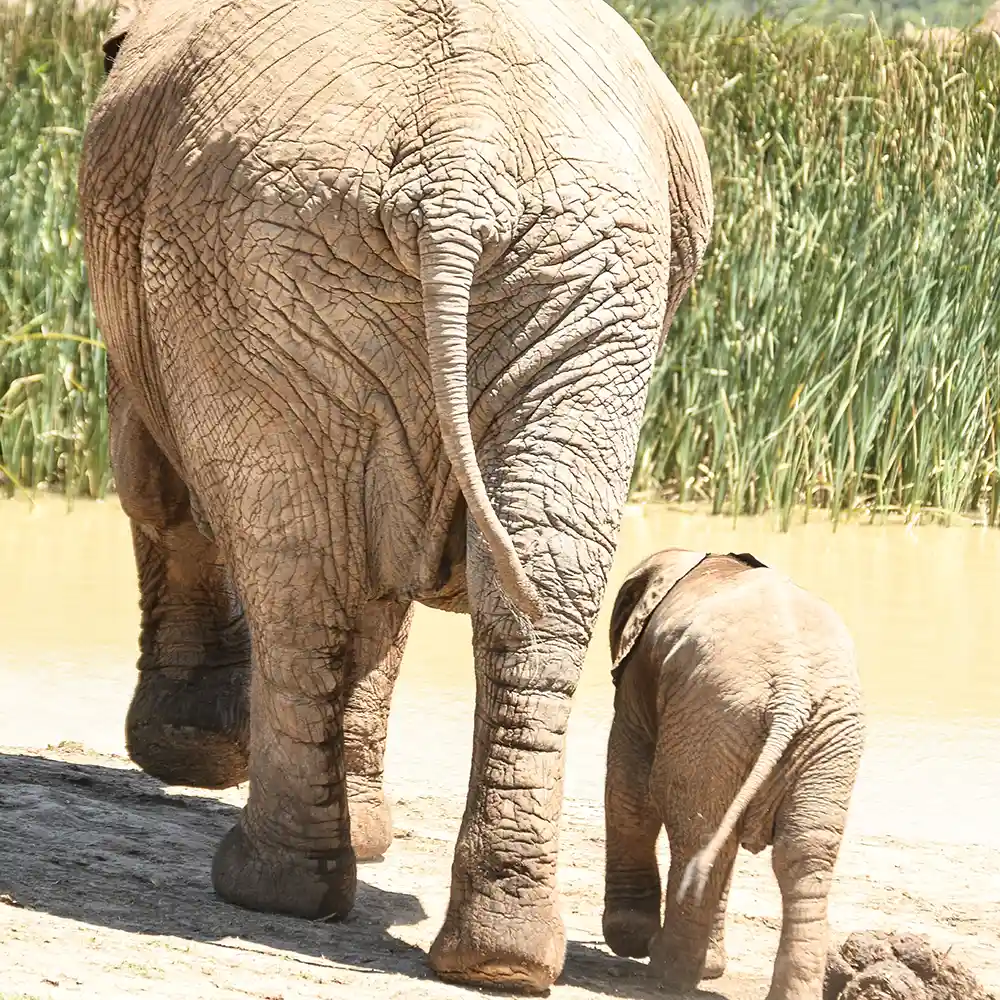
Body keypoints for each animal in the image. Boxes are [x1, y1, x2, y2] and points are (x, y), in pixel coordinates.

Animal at [78, 0, 714, 991]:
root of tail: (461, 165)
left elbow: (156, 487)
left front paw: (190, 756)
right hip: (567, 289)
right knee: (528, 579)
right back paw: (496, 956)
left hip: (271, 269)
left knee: (298, 570)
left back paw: (270, 888)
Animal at [602, 548, 865, 1000]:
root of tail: (793, 688)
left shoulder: (639, 678)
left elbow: (629, 789)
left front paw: (628, 939)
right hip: (824, 736)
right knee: (803, 853)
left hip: (717, 713)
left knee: (697, 830)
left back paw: (664, 973)